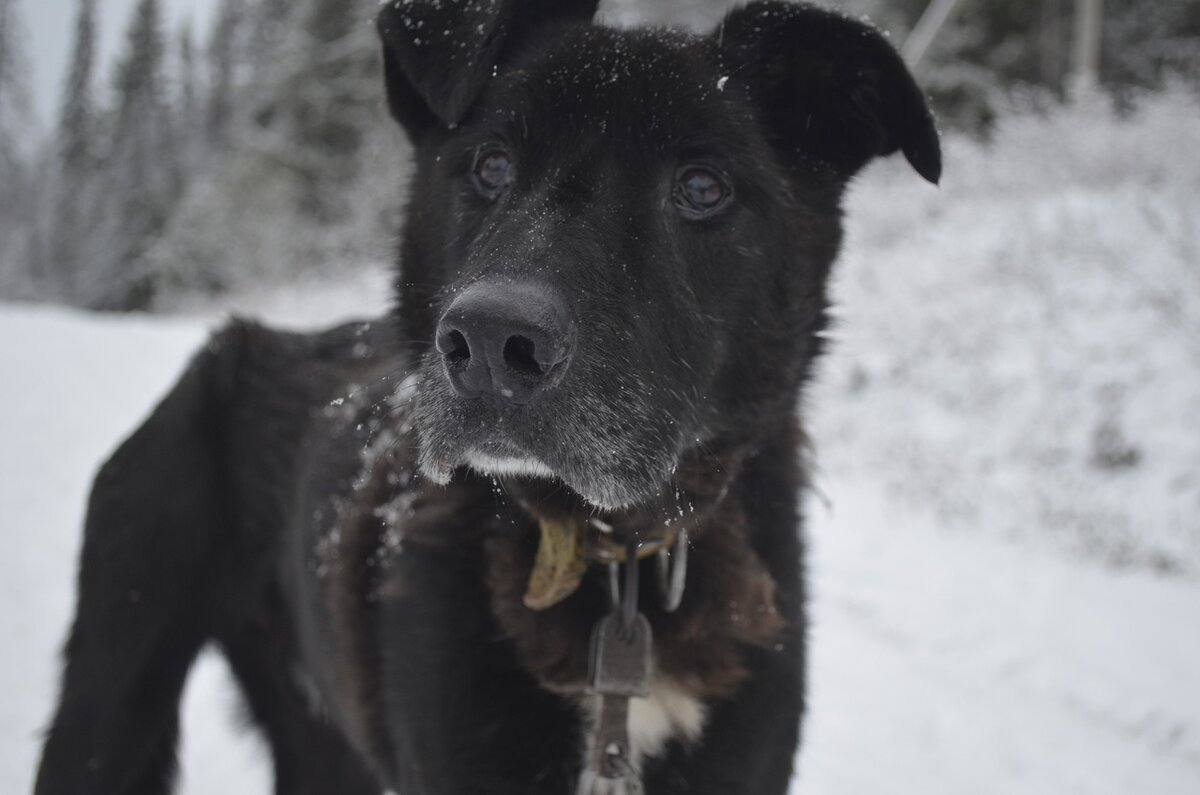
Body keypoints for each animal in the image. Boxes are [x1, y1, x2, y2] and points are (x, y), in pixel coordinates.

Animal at [35, 3, 936, 792]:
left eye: (702, 187)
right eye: (491, 166)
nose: (493, 344)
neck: (617, 572)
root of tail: (234, 341)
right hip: (110, 696)